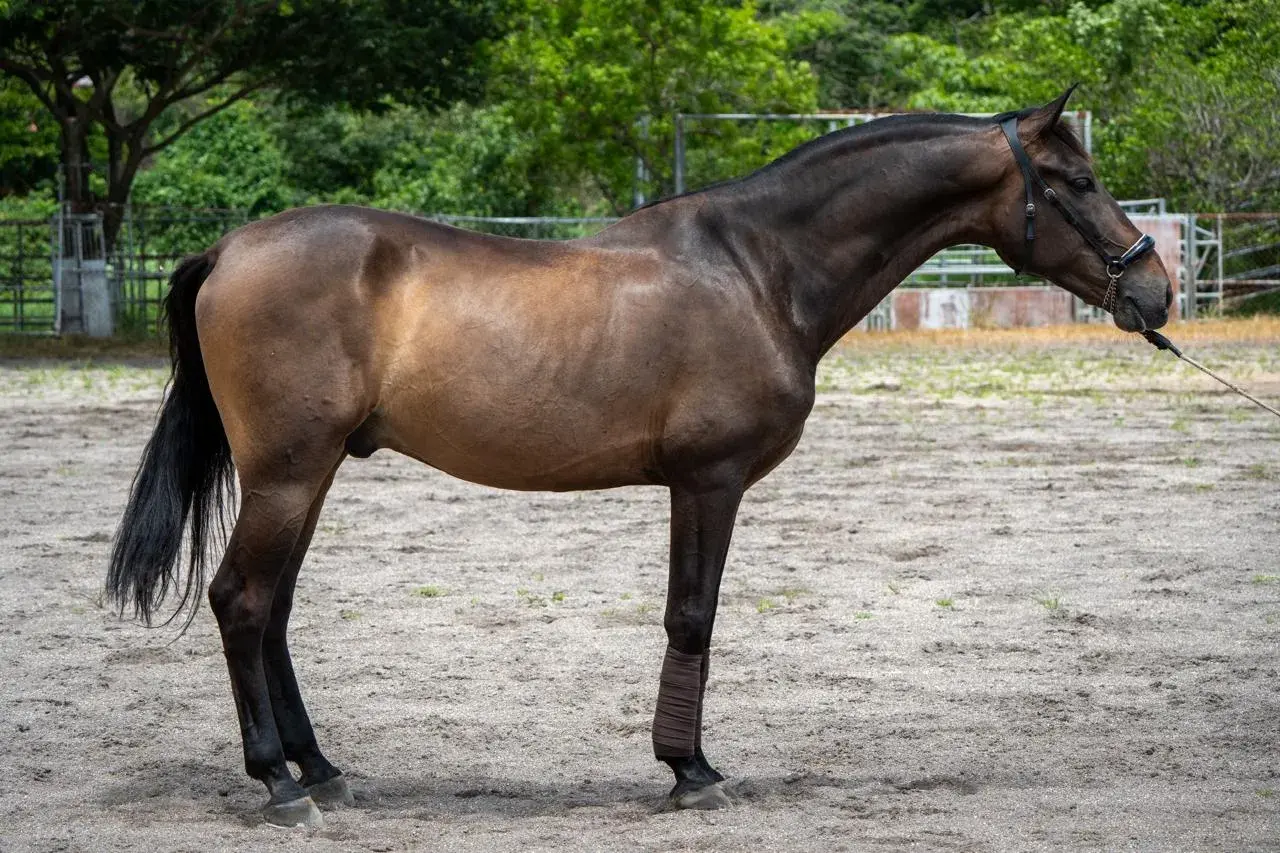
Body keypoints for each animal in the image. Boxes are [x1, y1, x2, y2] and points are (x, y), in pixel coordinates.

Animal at [107, 88, 1171, 827]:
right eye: (1077, 183)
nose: (1155, 289)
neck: (757, 267)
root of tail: (229, 249)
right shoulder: (709, 480)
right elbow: (692, 616)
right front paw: (689, 770)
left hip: (310, 472)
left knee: (274, 609)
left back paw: (320, 767)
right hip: (288, 471)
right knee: (243, 601)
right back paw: (280, 783)